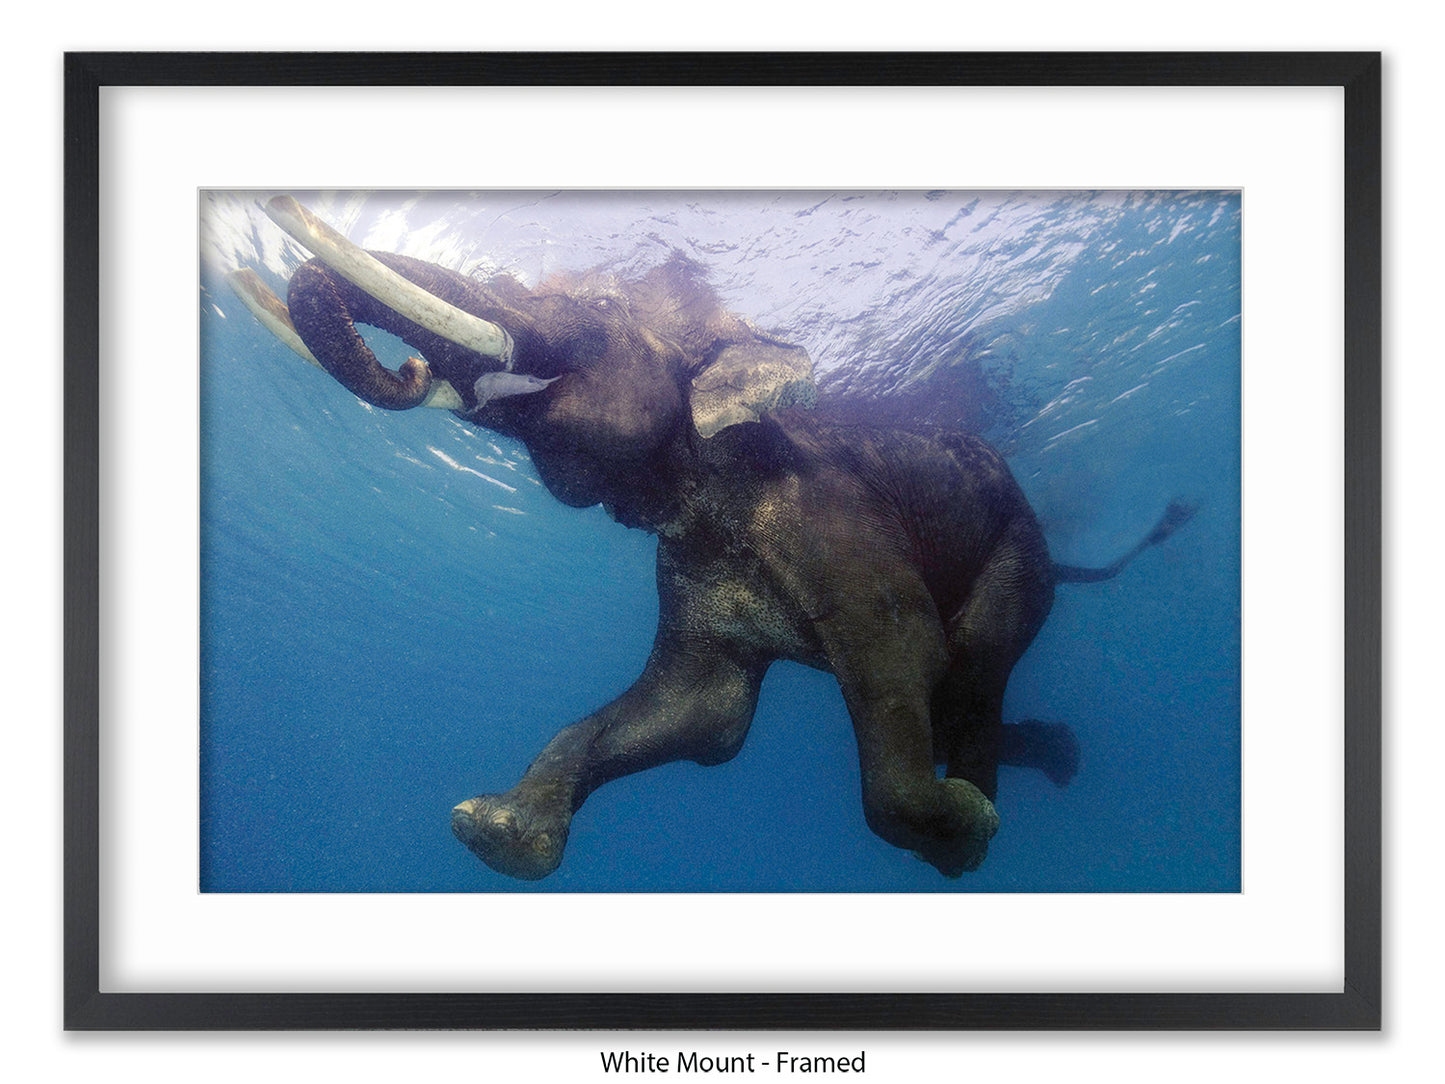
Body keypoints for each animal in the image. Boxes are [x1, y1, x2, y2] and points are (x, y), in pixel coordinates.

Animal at [236, 203, 1194, 881]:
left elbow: (903, 654)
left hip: (1016, 552)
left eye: (594, 311)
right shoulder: (686, 570)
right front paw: (491, 831)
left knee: (972, 659)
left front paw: (960, 830)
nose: (411, 367)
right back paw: (1046, 759)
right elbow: (702, 713)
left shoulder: (835, 520)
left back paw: (982, 812)